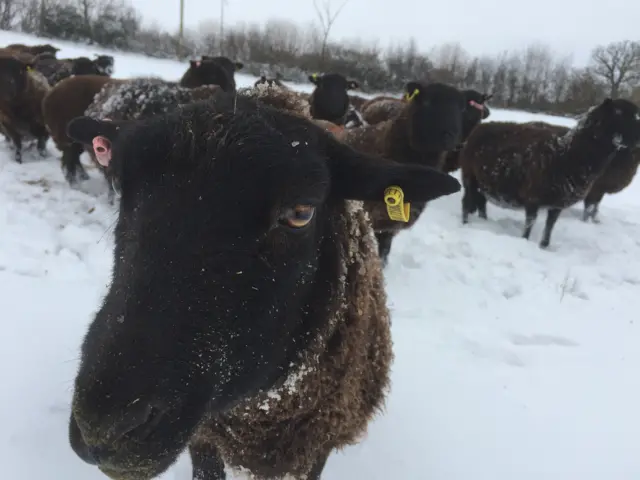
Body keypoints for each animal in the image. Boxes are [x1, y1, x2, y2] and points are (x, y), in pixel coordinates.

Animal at [460, 97, 640, 248]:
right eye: (618, 112)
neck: (567, 154)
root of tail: (480, 127)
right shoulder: (533, 197)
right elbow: (530, 223)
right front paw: (525, 241)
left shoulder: (557, 203)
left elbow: (550, 227)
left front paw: (544, 246)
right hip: (469, 176)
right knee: (466, 202)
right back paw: (465, 224)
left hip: (483, 182)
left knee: (481, 202)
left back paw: (483, 221)